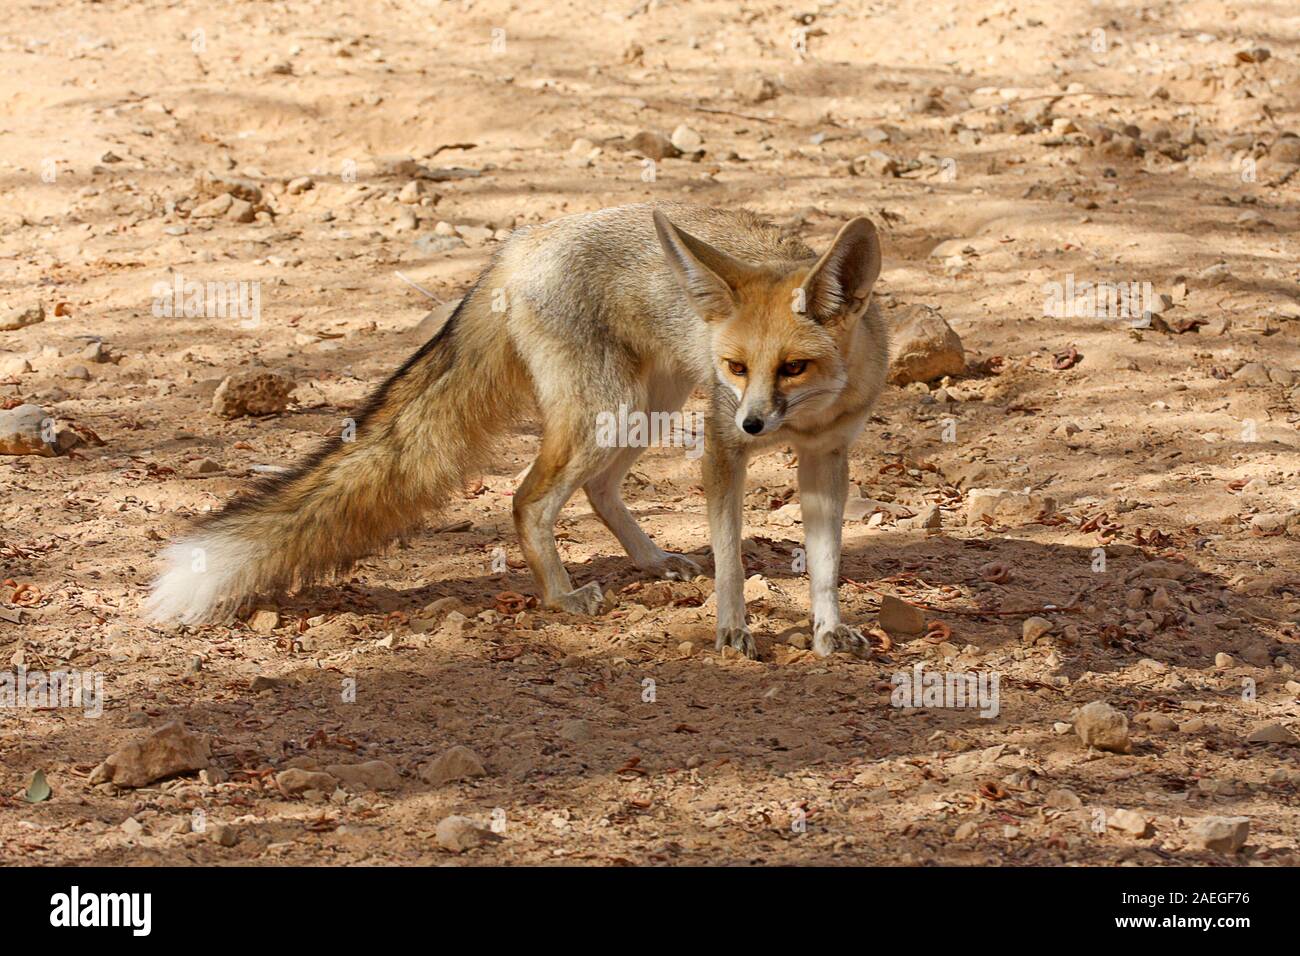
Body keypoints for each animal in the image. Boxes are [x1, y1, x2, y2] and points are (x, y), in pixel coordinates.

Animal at [147, 201, 889, 658]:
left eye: (792, 367)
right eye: (736, 365)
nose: (755, 421)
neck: (807, 416)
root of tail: (517, 244)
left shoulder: (826, 457)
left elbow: (826, 563)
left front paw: (829, 631)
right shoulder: (723, 444)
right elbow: (733, 559)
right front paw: (732, 631)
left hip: (643, 409)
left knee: (597, 491)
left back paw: (650, 560)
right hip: (615, 412)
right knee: (528, 499)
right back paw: (560, 595)